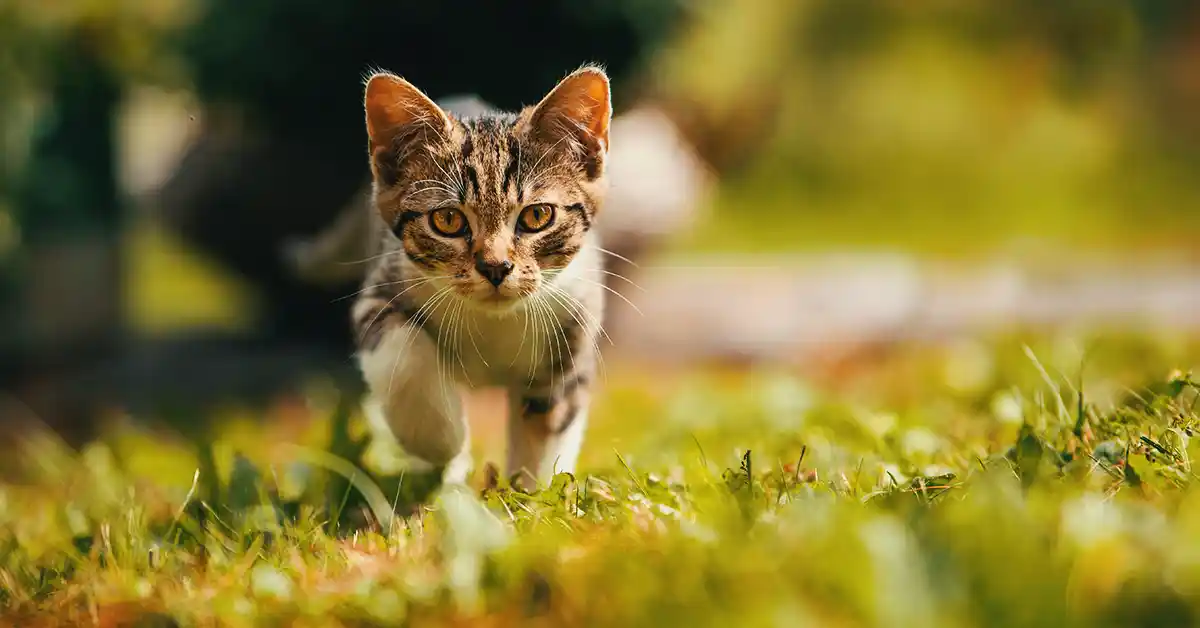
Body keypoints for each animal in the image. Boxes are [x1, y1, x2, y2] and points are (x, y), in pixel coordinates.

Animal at [348, 67, 609, 492]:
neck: (493, 324)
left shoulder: (577, 316)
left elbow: (550, 415)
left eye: (537, 216)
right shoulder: (379, 291)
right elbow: (402, 359)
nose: (496, 266)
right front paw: (443, 440)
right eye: (448, 220)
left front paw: (531, 495)